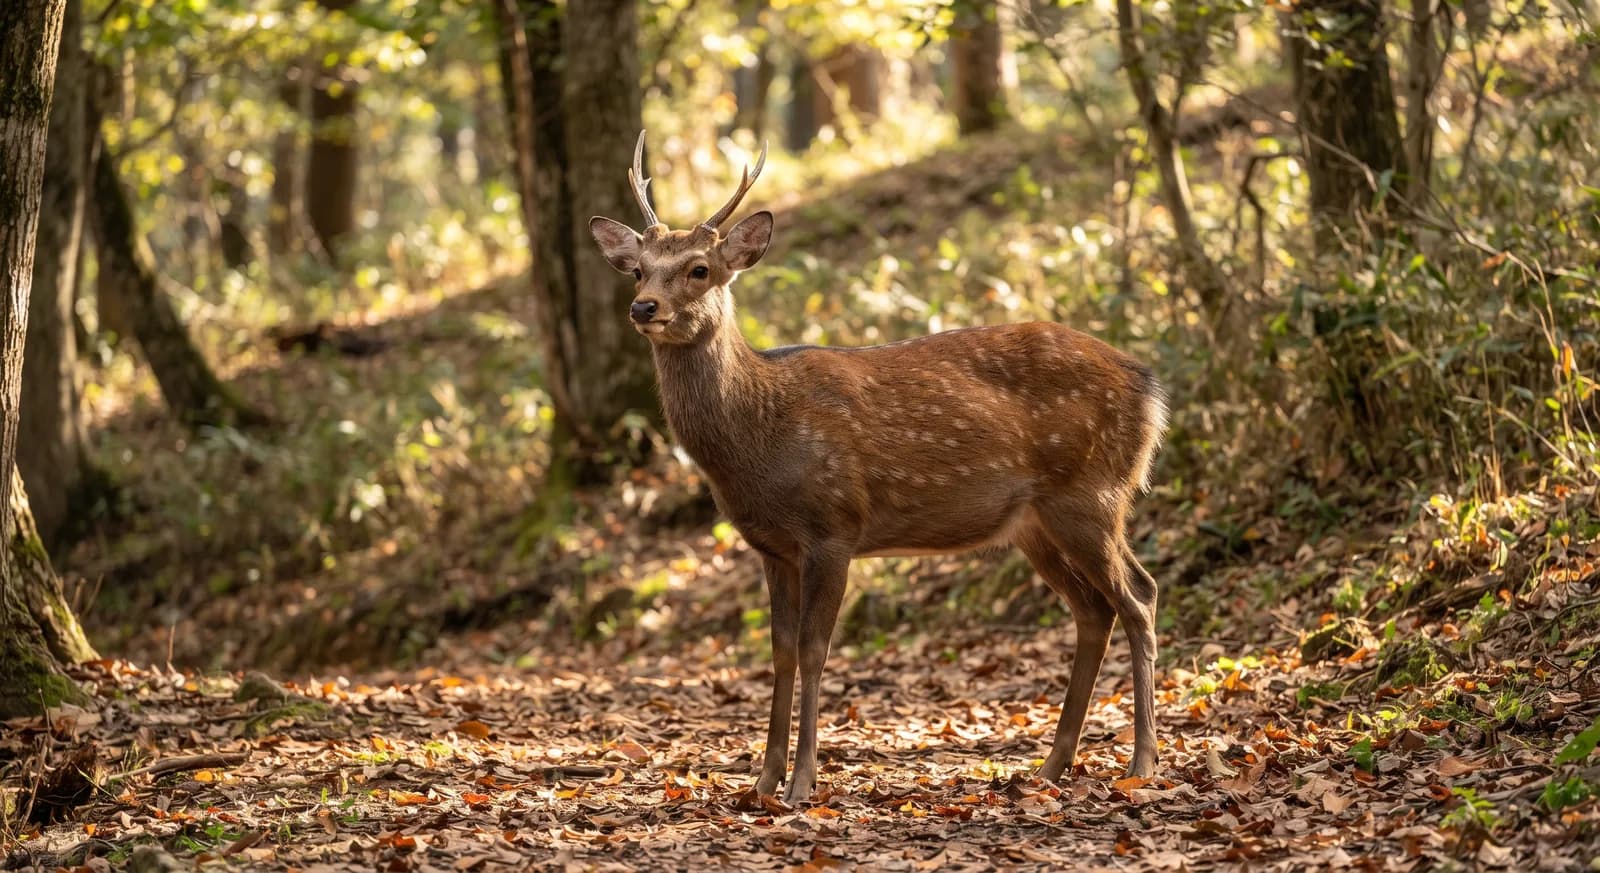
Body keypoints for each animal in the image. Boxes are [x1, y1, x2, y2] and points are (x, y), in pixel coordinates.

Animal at [589, 133, 1167, 804]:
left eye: (699, 268)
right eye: (638, 267)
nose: (643, 306)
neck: (759, 439)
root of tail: (1150, 387)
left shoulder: (833, 526)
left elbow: (814, 649)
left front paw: (802, 783)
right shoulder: (771, 547)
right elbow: (780, 652)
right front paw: (763, 780)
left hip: (1092, 493)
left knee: (1139, 596)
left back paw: (1141, 761)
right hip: (1036, 524)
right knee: (1093, 609)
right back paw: (1051, 766)